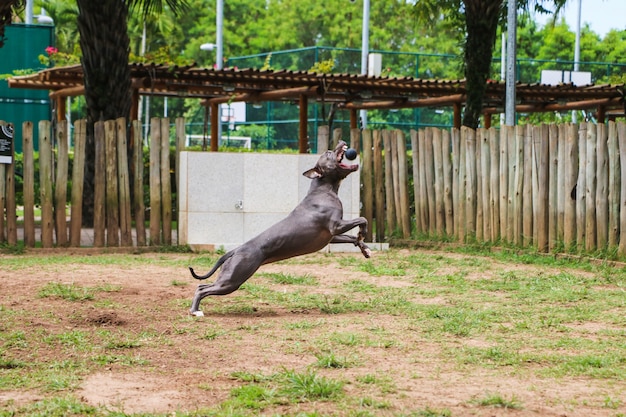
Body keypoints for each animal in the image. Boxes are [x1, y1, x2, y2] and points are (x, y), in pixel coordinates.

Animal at [188, 141, 368, 316]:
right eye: (328, 153)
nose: (341, 142)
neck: (324, 189)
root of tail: (235, 250)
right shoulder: (336, 226)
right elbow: (362, 219)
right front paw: (363, 233)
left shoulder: (331, 236)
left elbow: (352, 238)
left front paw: (364, 247)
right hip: (233, 279)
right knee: (204, 289)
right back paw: (195, 311)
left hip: (229, 278)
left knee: (201, 286)